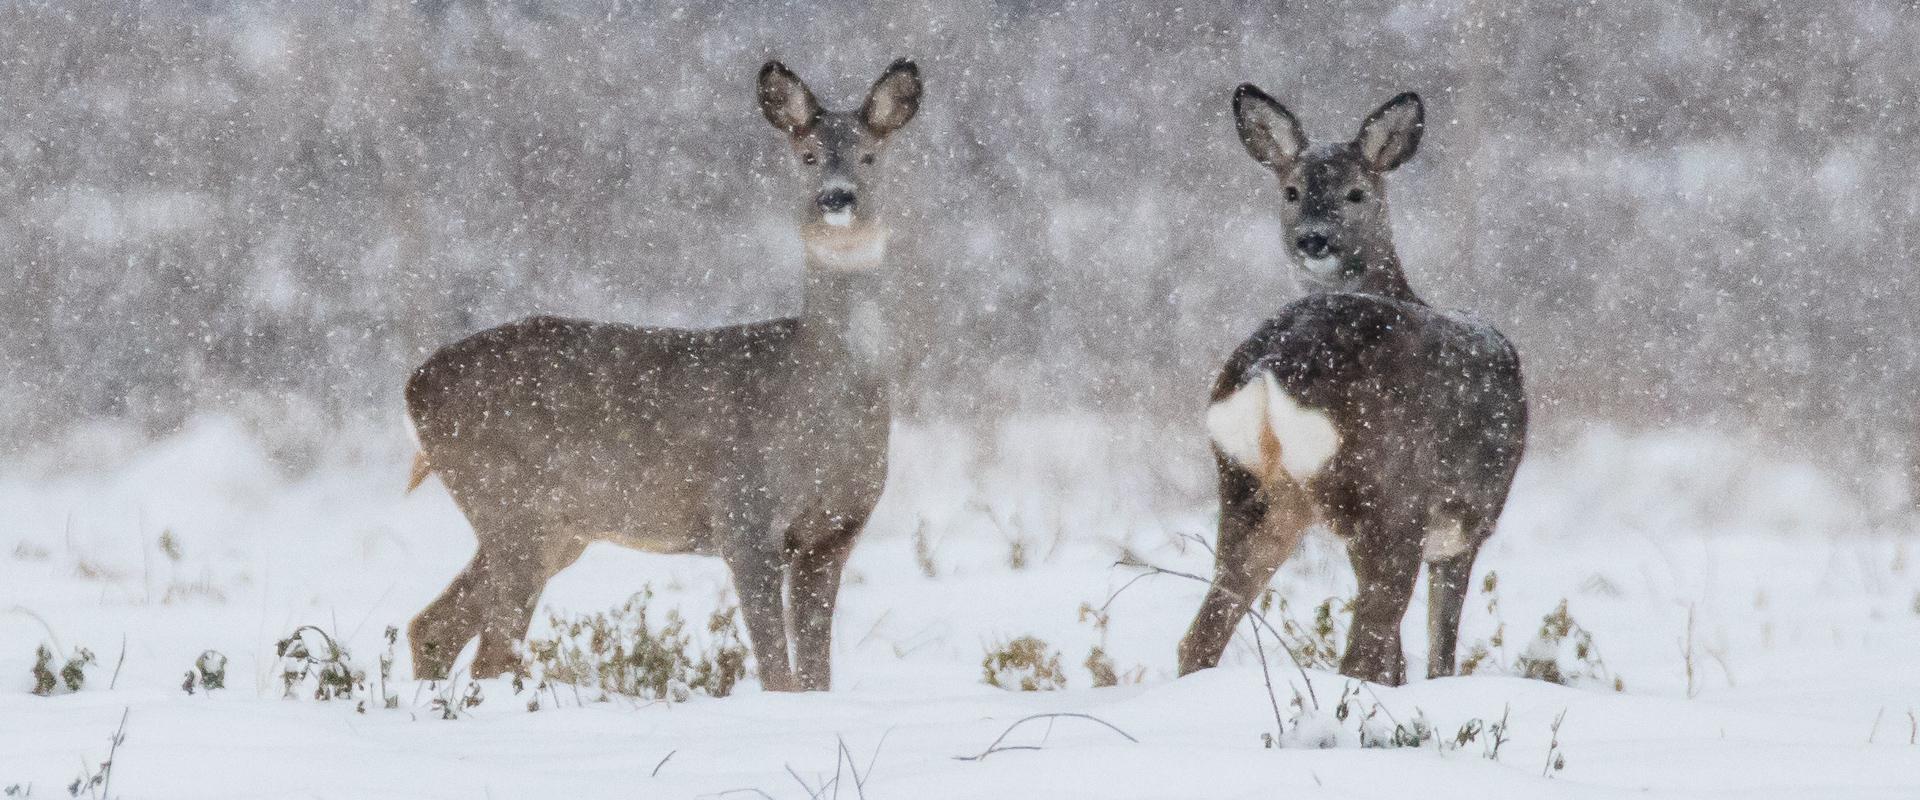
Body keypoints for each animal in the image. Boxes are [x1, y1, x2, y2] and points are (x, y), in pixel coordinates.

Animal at [399, 59, 921, 690]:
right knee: (490, 650)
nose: (836, 197)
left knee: (435, 625)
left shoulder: (837, 531)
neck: (819, 400)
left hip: (555, 529)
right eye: (807, 156)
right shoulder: (743, 514)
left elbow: (816, 678)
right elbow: (778, 672)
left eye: (870, 155)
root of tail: (413, 385)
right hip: (509, 503)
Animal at [1167, 88, 1528, 686]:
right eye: (1291, 191)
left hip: (1248, 489)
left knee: (1200, 637)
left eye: (1356, 192)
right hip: (1385, 497)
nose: (1314, 238)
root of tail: (1269, 368)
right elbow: (1439, 654)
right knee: (1361, 653)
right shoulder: (1468, 526)